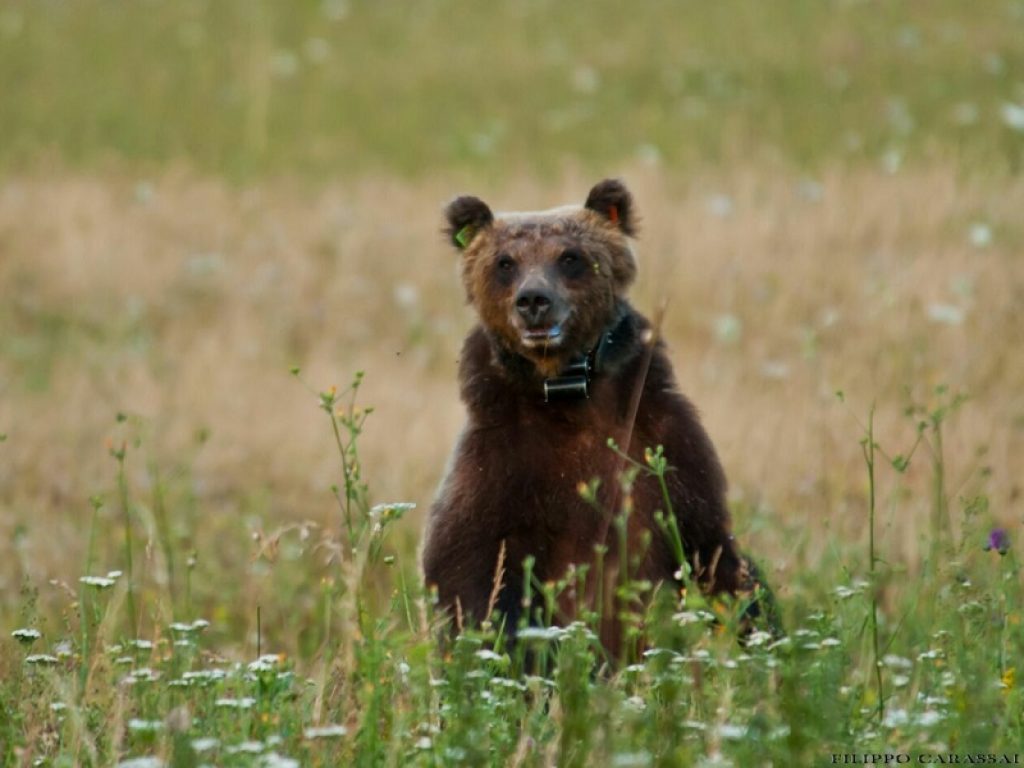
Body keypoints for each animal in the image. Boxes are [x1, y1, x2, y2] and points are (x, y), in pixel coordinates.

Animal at [421, 179, 775, 656]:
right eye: (505, 262)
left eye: (569, 256)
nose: (534, 300)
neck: (568, 391)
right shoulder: (500, 459)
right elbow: (468, 565)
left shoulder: (662, 442)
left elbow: (712, 550)